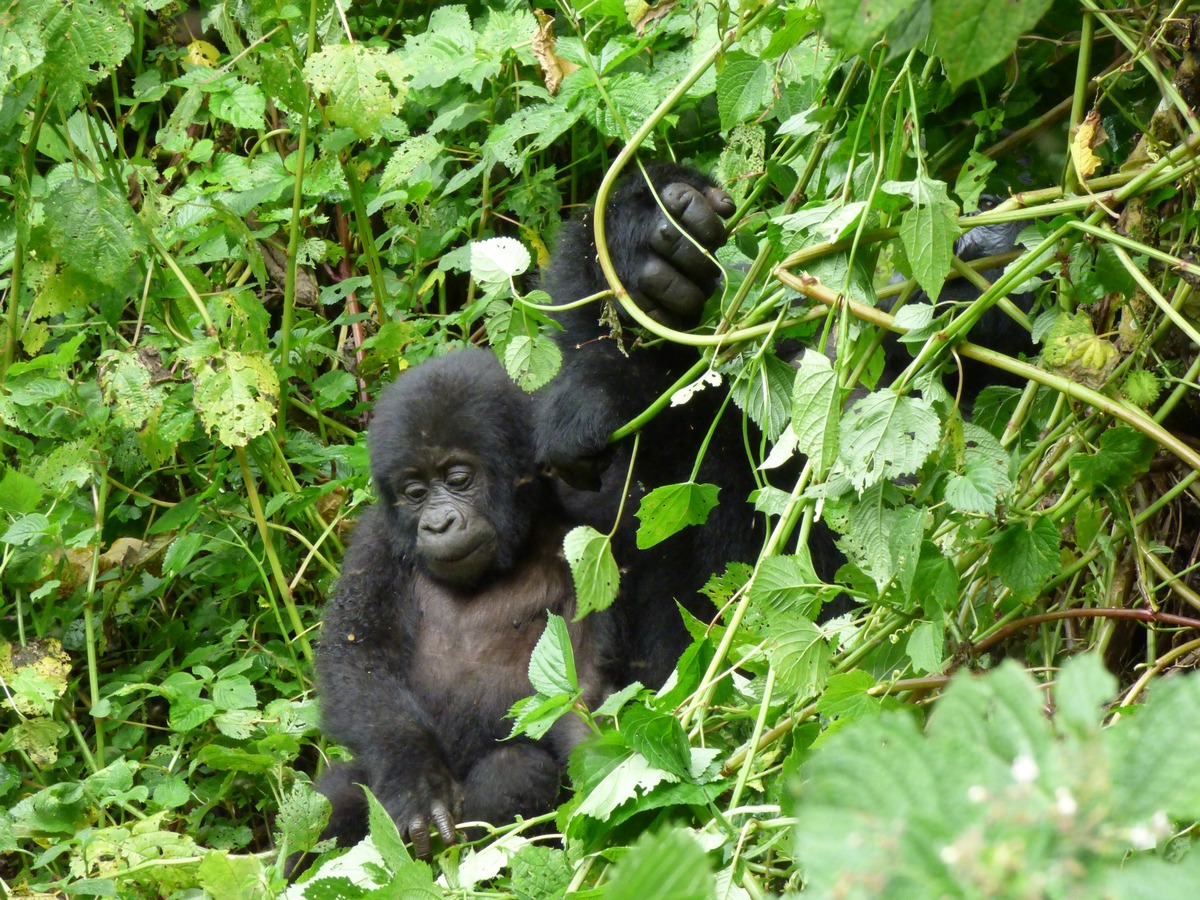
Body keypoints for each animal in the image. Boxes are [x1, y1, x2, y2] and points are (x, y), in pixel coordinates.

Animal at [312, 348, 604, 864]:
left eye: (458, 479)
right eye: (415, 492)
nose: (438, 524)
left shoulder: (588, 533)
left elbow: (579, 687)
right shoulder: (376, 540)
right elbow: (358, 659)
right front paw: (417, 783)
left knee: (516, 770)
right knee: (332, 801)